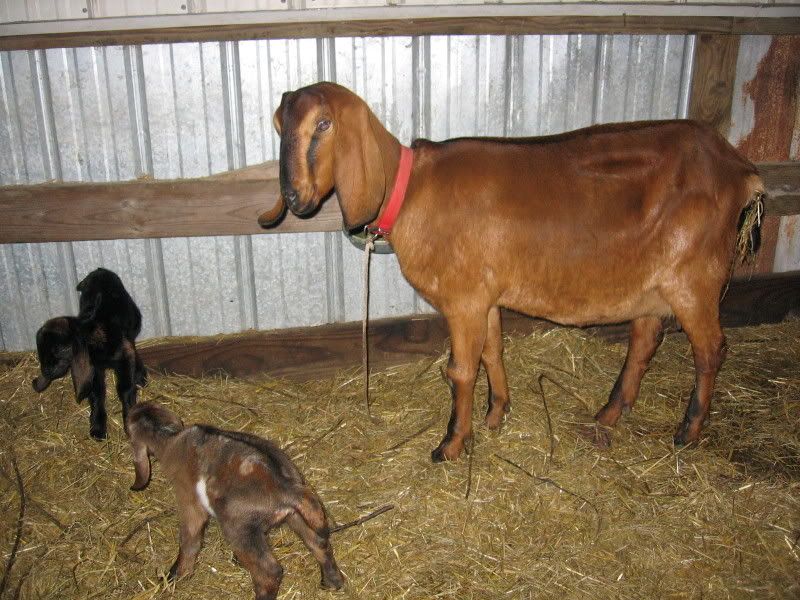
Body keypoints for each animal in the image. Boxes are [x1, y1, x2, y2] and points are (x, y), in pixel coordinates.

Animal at [32, 267, 146, 439]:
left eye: (60, 350)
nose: (45, 371)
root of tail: (100, 271)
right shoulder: (94, 368)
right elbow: (96, 394)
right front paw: (97, 428)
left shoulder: (124, 358)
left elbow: (125, 389)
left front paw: (128, 422)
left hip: (133, 325)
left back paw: (140, 375)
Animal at [126, 402, 344, 600]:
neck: (170, 439)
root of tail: (287, 487)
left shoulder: (189, 500)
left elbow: (190, 541)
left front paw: (176, 576)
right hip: (294, 516)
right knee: (317, 541)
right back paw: (331, 582)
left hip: (238, 527)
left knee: (269, 572)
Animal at [259, 82, 765, 462]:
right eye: (279, 126)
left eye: (323, 124)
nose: (295, 197)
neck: (411, 191)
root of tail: (740, 170)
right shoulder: (484, 296)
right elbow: (492, 352)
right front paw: (496, 413)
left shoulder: (463, 299)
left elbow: (461, 369)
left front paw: (451, 444)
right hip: (653, 278)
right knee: (645, 340)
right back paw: (607, 415)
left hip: (694, 278)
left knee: (711, 350)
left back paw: (688, 432)